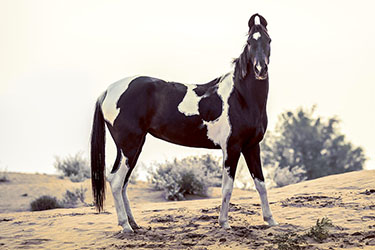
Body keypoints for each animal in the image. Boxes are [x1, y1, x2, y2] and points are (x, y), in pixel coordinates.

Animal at [90, 13, 278, 232]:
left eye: (268, 40)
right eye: (249, 42)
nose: (260, 69)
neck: (241, 97)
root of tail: (109, 90)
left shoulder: (252, 146)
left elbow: (261, 184)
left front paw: (271, 221)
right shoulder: (232, 148)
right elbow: (227, 187)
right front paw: (224, 223)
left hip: (133, 148)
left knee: (123, 183)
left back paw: (134, 224)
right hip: (129, 146)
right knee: (116, 181)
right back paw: (126, 226)